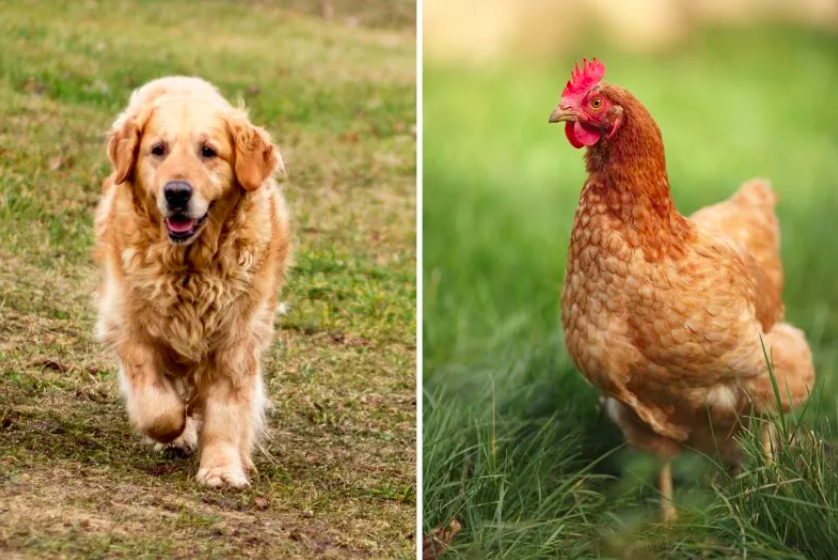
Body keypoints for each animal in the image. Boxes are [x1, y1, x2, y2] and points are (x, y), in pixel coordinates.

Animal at [93, 76, 292, 488]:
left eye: (208, 151)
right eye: (158, 150)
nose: (177, 192)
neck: (190, 267)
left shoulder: (236, 340)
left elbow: (227, 411)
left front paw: (223, 468)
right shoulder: (129, 326)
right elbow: (157, 407)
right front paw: (175, 431)